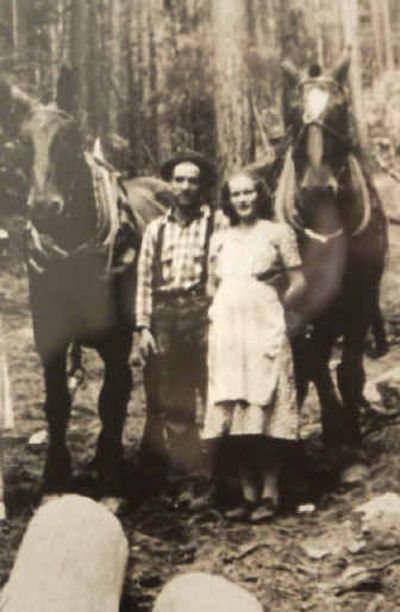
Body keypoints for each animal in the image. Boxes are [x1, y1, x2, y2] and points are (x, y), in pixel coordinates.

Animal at [0, 73, 173, 492]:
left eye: (69, 137)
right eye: (22, 141)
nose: (44, 207)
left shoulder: (117, 338)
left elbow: (111, 399)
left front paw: (110, 469)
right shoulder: (48, 333)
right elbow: (58, 401)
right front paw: (56, 471)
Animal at [270, 51, 386, 454]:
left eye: (340, 108)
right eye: (292, 111)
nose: (318, 188)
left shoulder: (362, 295)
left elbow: (349, 368)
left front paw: (351, 428)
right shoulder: (305, 303)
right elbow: (317, 365)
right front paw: (335, 426)